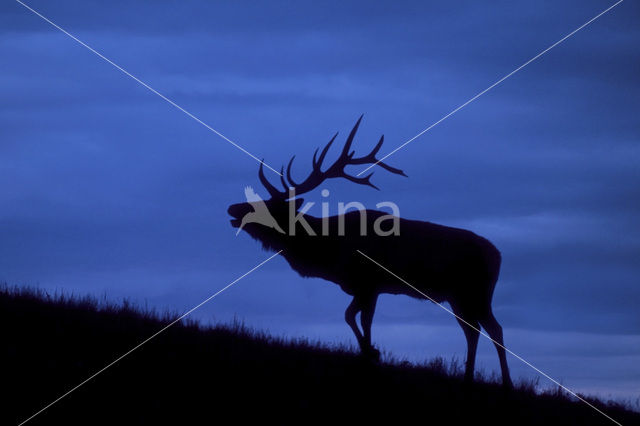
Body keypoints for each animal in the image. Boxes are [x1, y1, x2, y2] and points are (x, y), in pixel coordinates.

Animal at [228, 115, 512, 386]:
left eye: (268, 207)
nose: (232, 207)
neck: (328, 254)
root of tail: (498, 255)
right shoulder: (367, 288)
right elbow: (358, 317)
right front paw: (369, 352)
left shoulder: (368, 282)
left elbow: (354, 317)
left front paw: (371, 352)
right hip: (458, 297)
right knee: (472, 330)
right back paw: (468, 376)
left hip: (476, 292)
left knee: (494, 329)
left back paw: (506, 381)